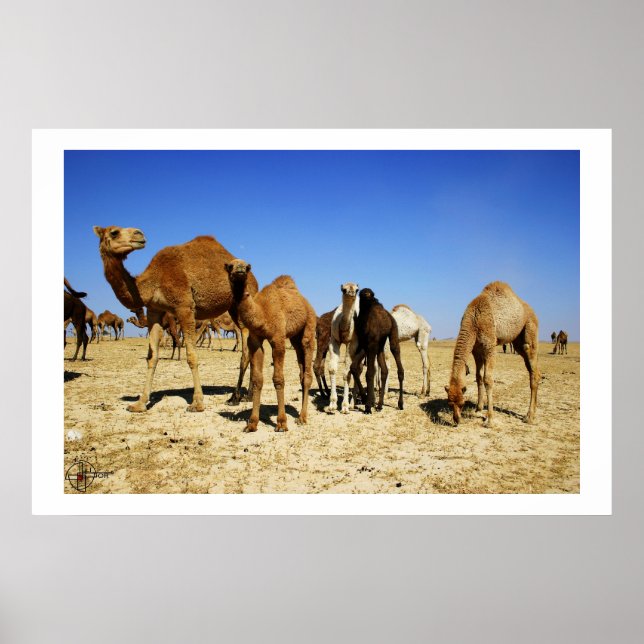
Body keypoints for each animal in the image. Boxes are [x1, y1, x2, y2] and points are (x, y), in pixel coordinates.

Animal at [94, 226, 258, 412]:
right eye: (114, 232)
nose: (139, 234)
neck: (154, 280)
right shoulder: (154, 311)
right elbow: (152, 356)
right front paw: (139, 403)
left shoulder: (184, 307)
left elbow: (191, 355)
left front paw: (197, 403)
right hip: (233, 308)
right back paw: (248, 395)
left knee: (246, 351)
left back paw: (235, 397)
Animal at [226, 259, 316, 432]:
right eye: (229, 266)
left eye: (247, 267)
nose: (240, 269)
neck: (262, 313)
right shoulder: (255, 340)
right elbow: (257, 379)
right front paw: (252, 423)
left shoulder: (278, 338)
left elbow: (278, 379)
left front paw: (281, 423)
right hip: (295, 338)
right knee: (301, 372)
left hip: (309, 326)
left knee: (307, 371)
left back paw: (302, 417)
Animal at [325, 283, 361, 414]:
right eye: (343, 289)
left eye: (357, 289)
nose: (351, 293)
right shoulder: (334, 340)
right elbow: (332, 369)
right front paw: (332, 405)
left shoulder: (351, 343)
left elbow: (346, 374)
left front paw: (344, 407)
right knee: (358, 369)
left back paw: (352, 403)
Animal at [445, 281, 540, 427]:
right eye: (450, 404)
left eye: (462, 404)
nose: (456, 421)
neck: (474, 319)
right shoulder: (476, 350)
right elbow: (478, 377)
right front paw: (478, 409)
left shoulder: (490, 346)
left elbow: (488, 379)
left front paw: (489, 420)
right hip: (517, 342)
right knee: (531, 369)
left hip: (530, 329)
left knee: (533, 363)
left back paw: (529, 417)